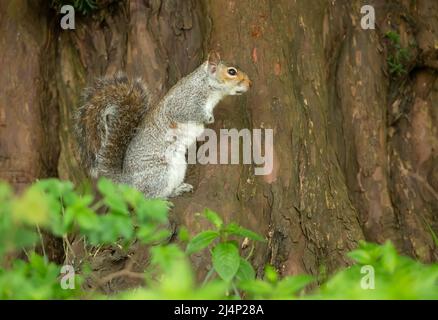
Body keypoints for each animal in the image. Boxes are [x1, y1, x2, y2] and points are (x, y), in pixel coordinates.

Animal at [74, 52, 252, 198]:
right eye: (231, 72)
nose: (250, 83)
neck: (206, 86)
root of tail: (127, 182)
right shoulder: (183, 104)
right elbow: (190, 113)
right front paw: (208, 118)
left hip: (178, 167)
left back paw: (179, 189)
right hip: (160, 174)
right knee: (149, 199)